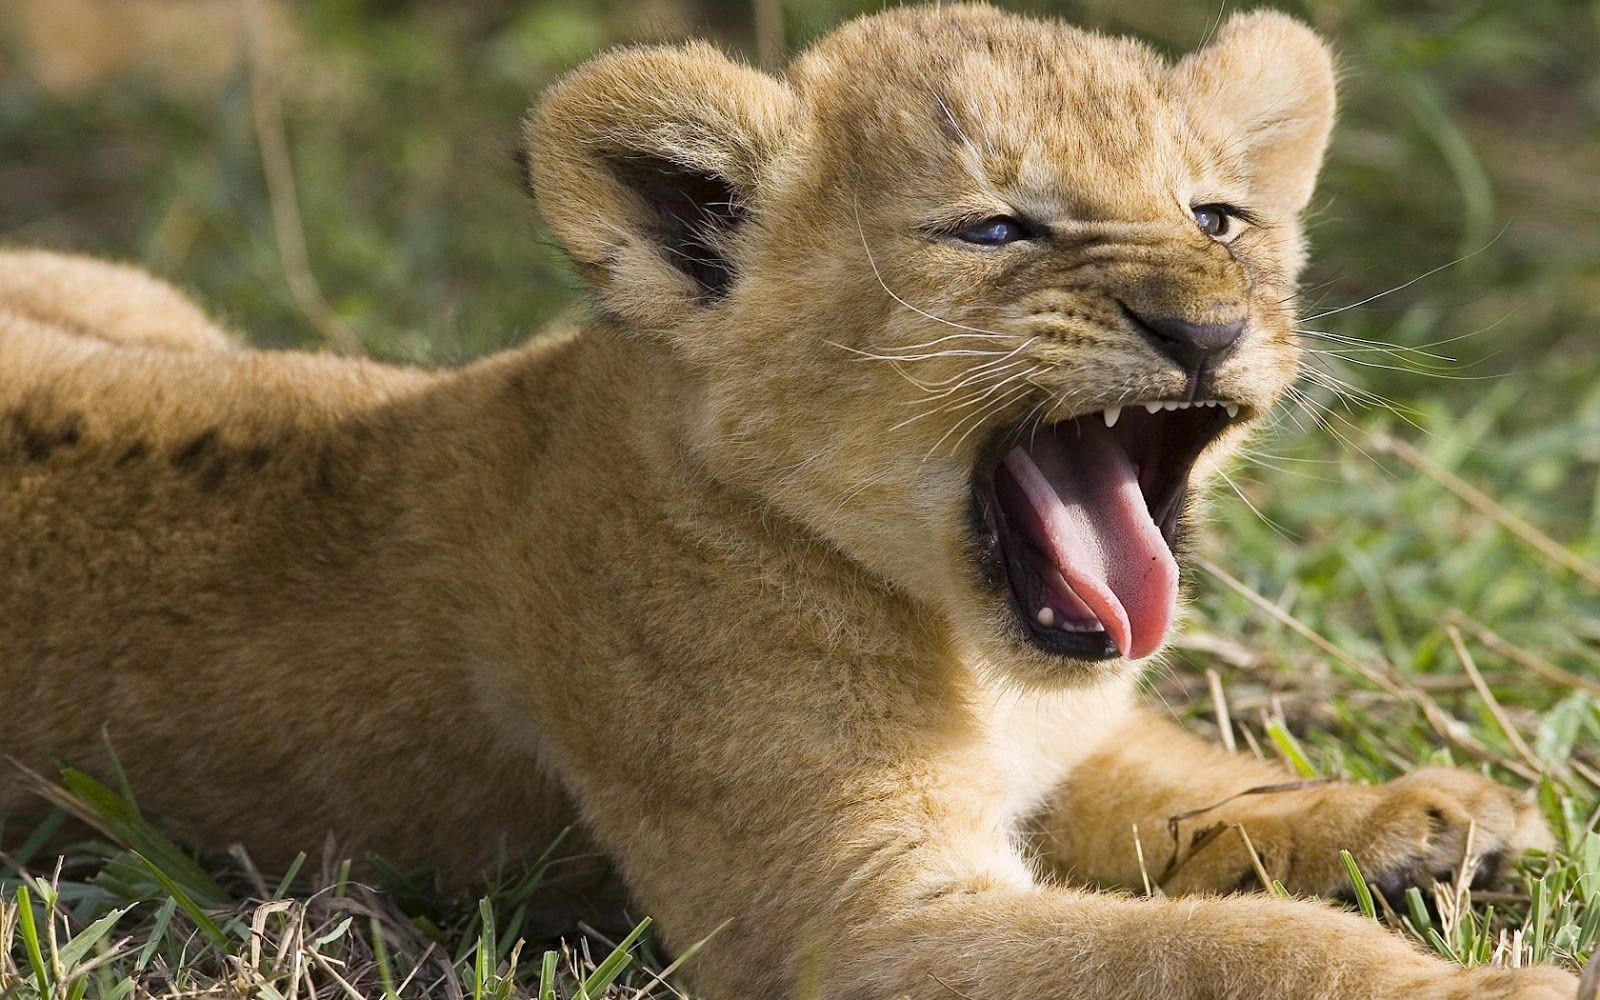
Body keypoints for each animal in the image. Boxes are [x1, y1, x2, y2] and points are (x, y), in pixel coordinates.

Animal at [0, 6, 1580, 997]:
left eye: (1215, 218)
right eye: (996, 228)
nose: (1203, 326)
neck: (964, 646)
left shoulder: (1066, 745)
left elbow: (1197, 784)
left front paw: (1424, 811)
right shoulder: (847, 923)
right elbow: (1216, 951)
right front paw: (1486, 989)